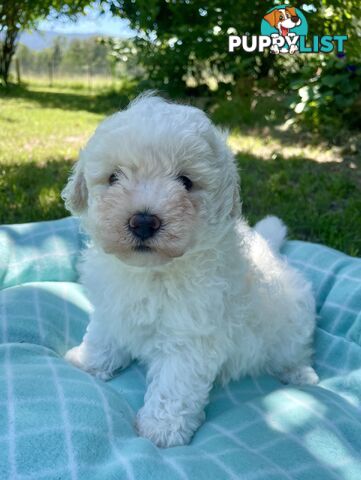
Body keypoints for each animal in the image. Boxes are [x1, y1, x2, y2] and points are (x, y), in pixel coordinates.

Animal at [63, 93, 316, 446]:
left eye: (186, 181)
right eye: (114, 177)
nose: (143, 221)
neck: (154, 272)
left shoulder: (190, 337)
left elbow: (174, 385)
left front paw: (160, 429)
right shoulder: (112, 309)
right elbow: (102, 338)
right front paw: (86, 362)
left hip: (293, 323)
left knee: (296, 351)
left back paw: (300, 373)